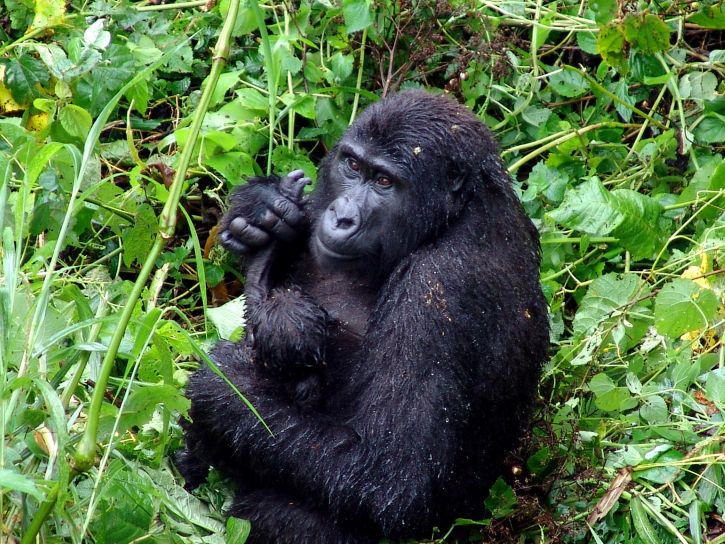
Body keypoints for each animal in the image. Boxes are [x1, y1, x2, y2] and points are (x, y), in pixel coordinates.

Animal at [177, 90, 548, 544]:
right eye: (353, 166)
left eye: (385, 182)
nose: (342, 217)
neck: (455, 214)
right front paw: (262, 209)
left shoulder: (438, 286)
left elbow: (393, 479)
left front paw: (222, 388)